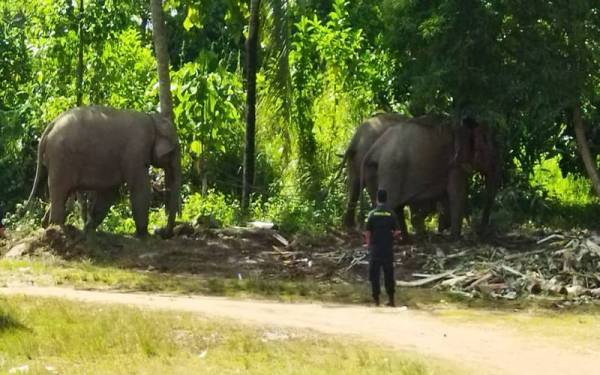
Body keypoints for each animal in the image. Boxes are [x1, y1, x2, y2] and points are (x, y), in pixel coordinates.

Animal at [27, 106, 180, 238]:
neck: (154, 120)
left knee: (62, 193)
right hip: (60, 158)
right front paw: (144, 236)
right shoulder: (137, 149)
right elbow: (140, 188)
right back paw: (59, 229)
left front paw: (89, 230)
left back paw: (47, 225)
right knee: (59, 191)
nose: (161, 231)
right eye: (173, 151)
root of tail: (51, 125)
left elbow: (109, 193)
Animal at [360, 113, 502, 239]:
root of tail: (373, 150)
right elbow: (457, 194)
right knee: (390, 204)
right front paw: (456, 238)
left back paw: (406, 239)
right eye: (490, 153)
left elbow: (445, 196)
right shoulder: (455, 165)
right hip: (391, 169)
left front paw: (445, 228)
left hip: (374, 171)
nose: (480, 233)